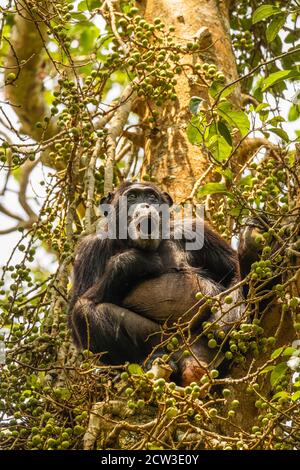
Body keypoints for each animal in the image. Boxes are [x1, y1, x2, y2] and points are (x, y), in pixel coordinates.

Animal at [68, 182, 246, 384]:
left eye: (151, 197)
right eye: (132, 197)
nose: (145, 205)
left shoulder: (194, 230)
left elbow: (235, 269)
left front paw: (224, 321)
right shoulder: (89, 250)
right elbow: (76, 313)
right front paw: (131, 260)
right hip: (161, 342)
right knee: (83, 311)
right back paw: (147, 361)